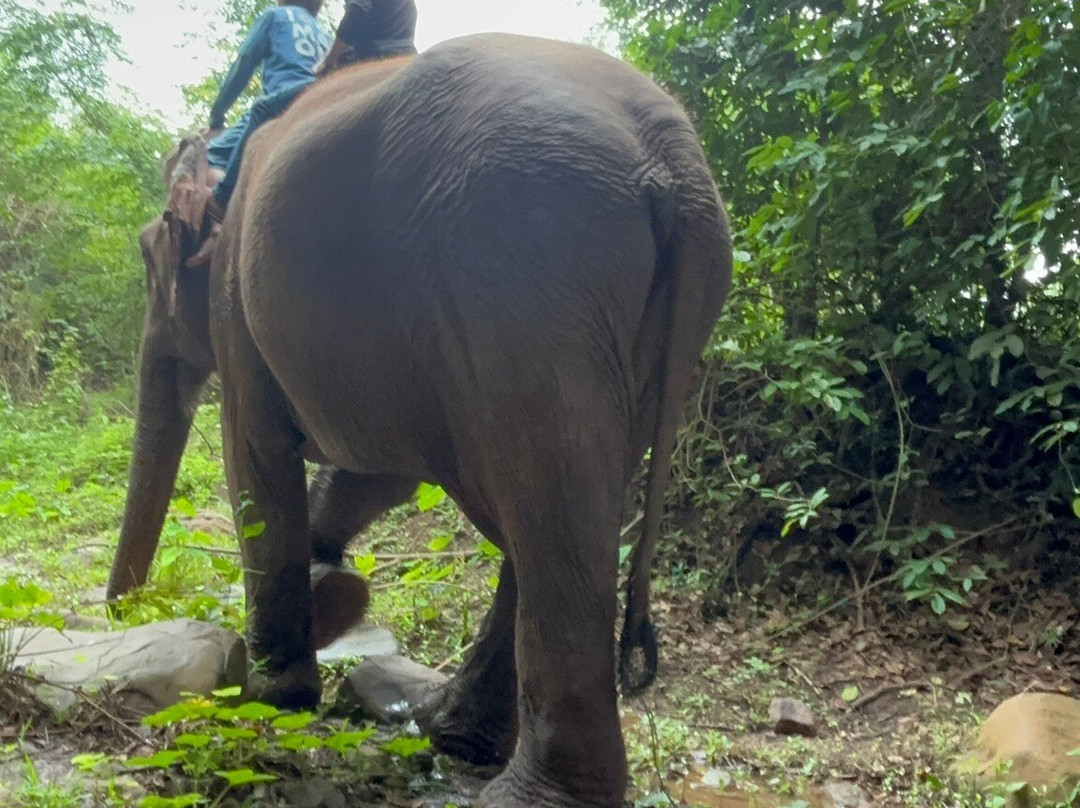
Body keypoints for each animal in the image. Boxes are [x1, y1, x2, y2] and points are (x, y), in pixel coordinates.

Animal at [107, 34, 731, 808]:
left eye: (148, 252)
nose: (121, 611)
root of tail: (671, 156)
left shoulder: (236, 296)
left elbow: (253, 450)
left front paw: (270, 698)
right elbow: (383, 475)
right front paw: (334, 596)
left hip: (522, 285)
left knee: (543, 512)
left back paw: (517, 789)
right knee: (568, 507)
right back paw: (452, 733)